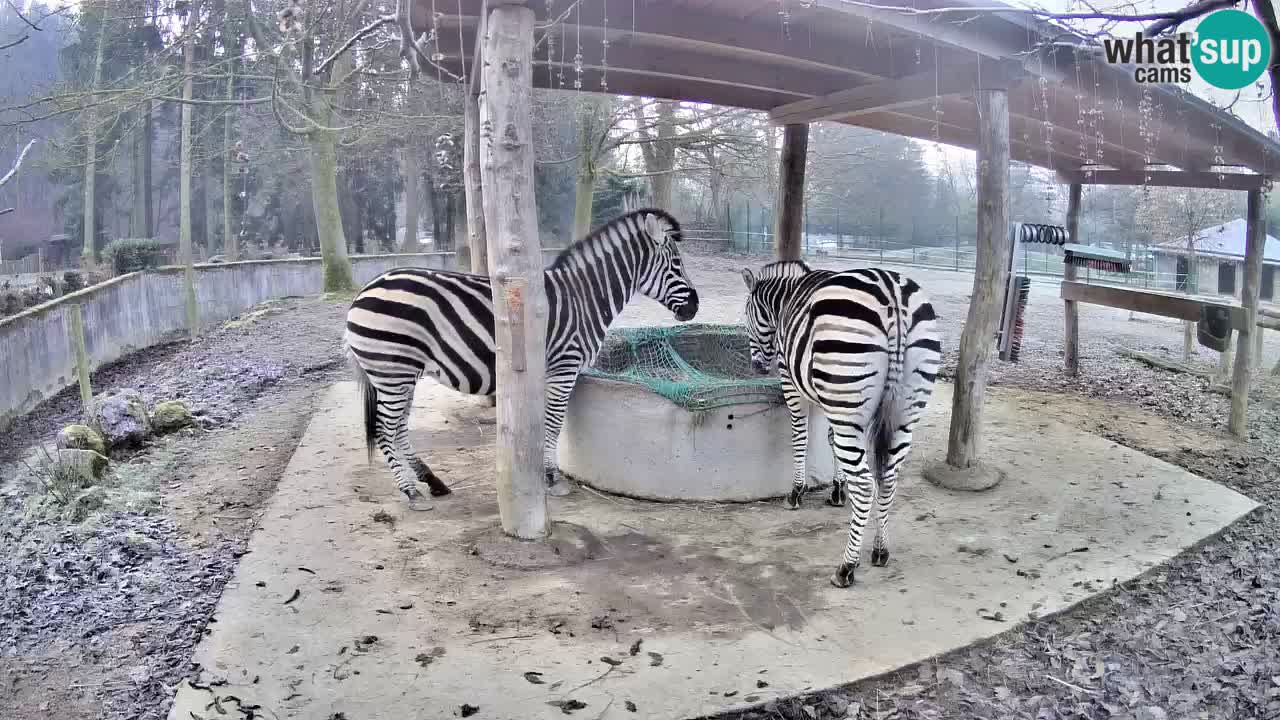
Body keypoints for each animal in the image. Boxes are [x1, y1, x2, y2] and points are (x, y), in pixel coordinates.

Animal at [343, 208, 701, 509]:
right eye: (677, 265)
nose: (695, 307)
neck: (583, 299)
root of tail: (362, 292)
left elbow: (546, 422)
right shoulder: (564, 367)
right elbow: (554, 422)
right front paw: (552, 479)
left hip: (400, 375)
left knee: (399, 428)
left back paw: (431, 481)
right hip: (393, 371)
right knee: (386, 430)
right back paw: (410, 492)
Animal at [742, 260, 942, 586]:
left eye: (747, 317)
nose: (757, 368)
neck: (785, 299)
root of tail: (894, 294)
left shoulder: (793, 382)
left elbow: (801, 436)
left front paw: (796, 492)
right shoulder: (831, 400)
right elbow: (831, 441)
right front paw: (837, 490)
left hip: (848, 392)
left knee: (865, 484)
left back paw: (847, 566)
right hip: (903, 412)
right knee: (888, 478)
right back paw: (880, 550)